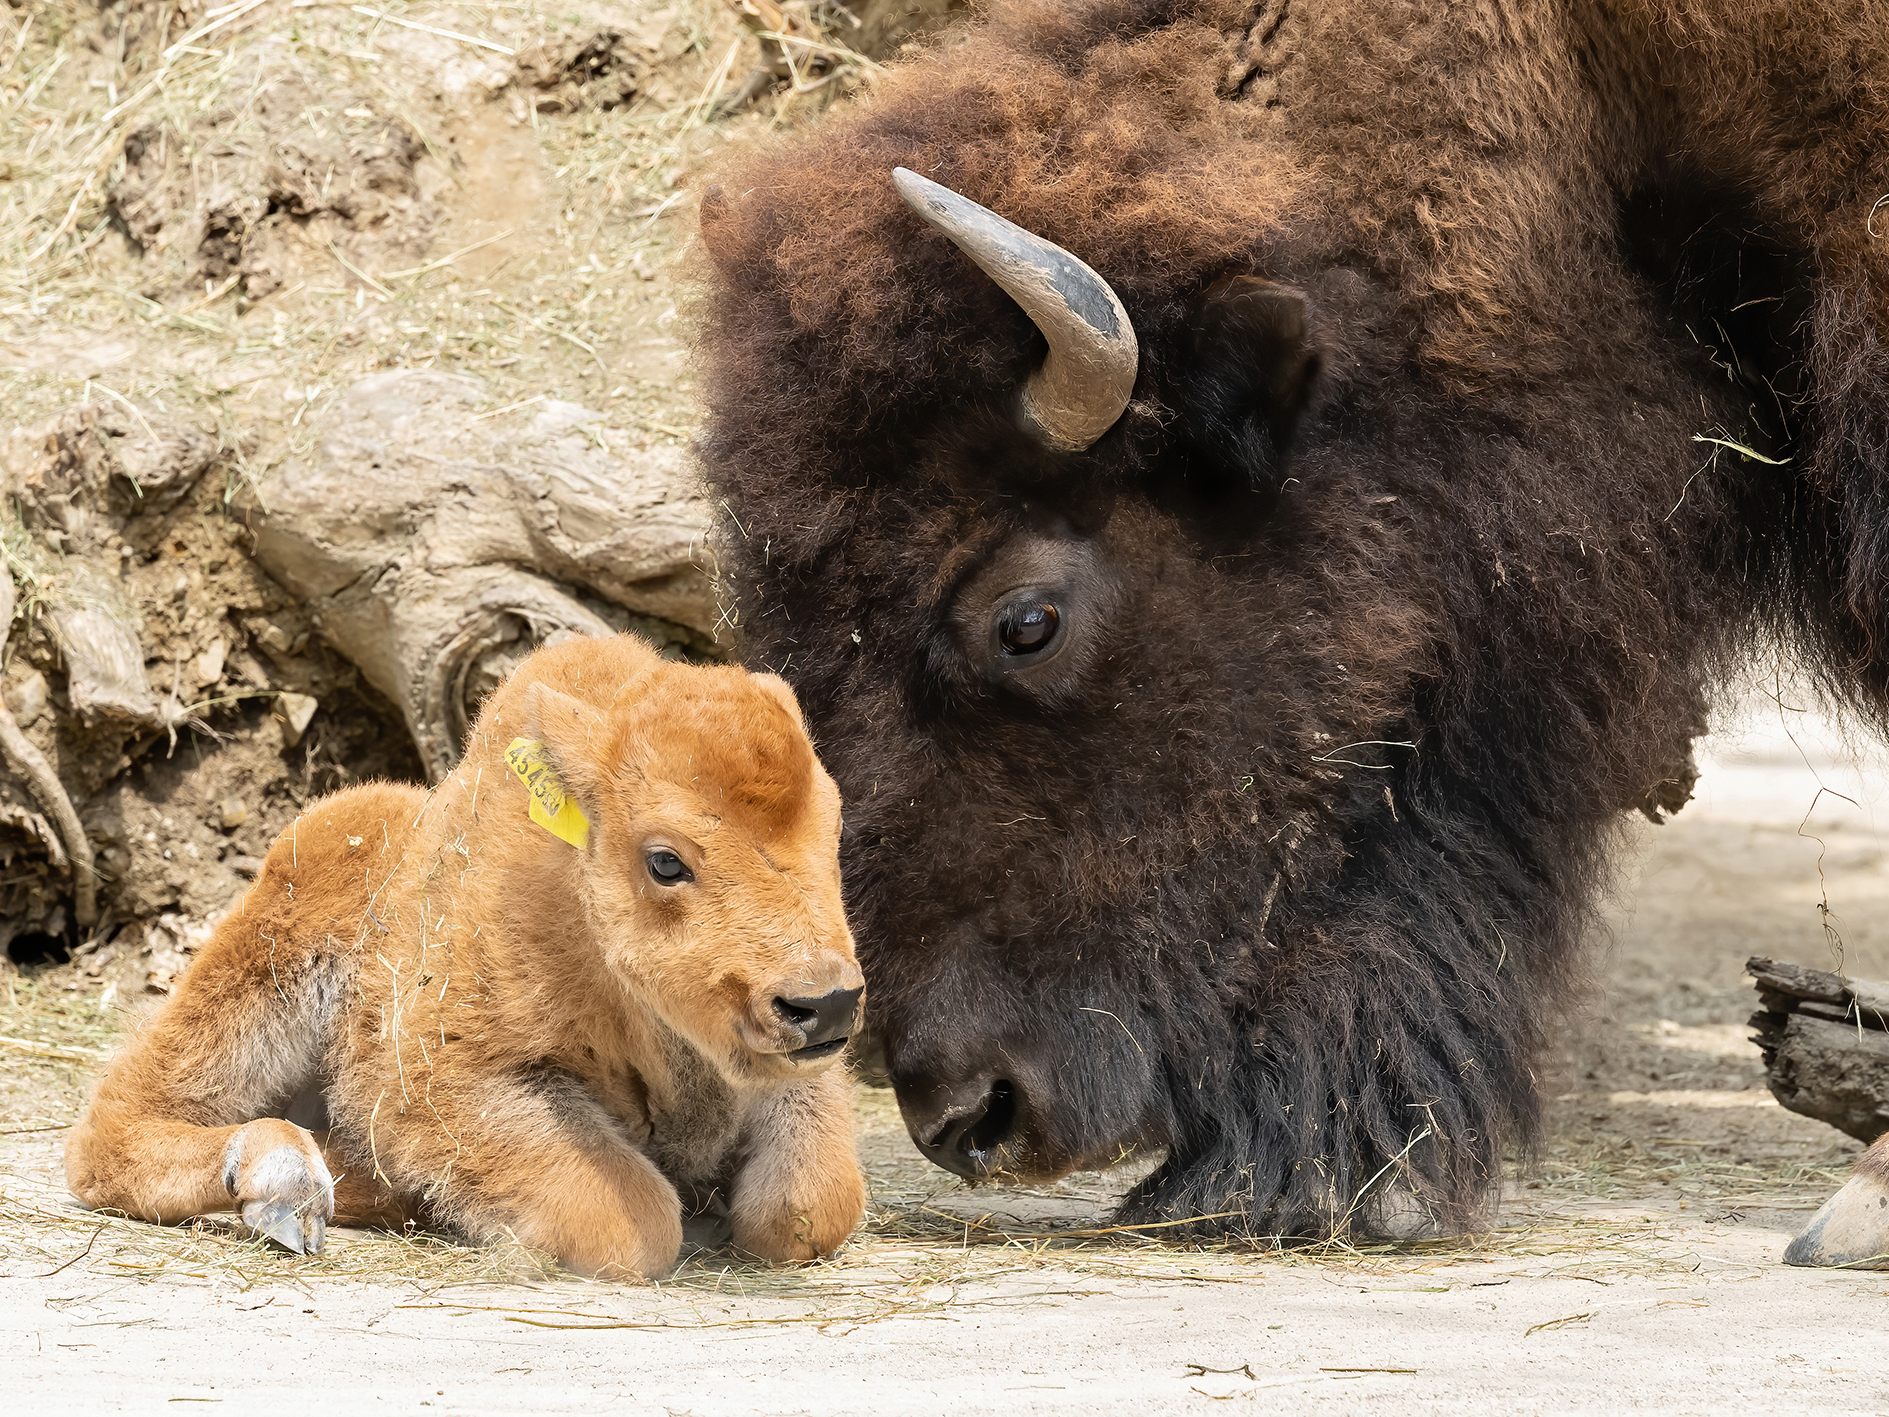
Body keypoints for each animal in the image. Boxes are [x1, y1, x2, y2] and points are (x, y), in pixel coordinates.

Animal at [64, 638, 865, 1284]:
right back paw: (287, 1179)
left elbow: (807, 1209)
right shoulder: (441, 1073)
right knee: (116, 1127)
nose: (825, 1002)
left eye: (834, 826)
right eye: (665, 860)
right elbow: (631, 1219)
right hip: (270, 966)